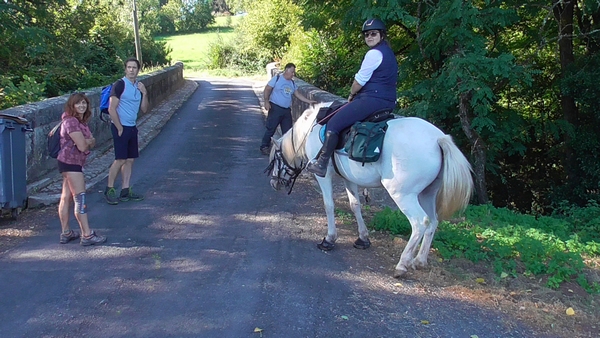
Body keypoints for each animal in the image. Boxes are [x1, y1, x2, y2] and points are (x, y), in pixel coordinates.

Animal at [268, 103, 474, 278]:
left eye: (275, 158)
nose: (273, 183)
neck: (311, 129)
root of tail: (438, 139)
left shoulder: (324, 176)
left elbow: (329, 205)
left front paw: (330, 239)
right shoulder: (349, 178)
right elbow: (355, 205)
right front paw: (363, 238)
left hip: (403, 195)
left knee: (419, 222)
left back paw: (402, 264)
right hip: (427, 193)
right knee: (433, 221)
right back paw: (420, 260)